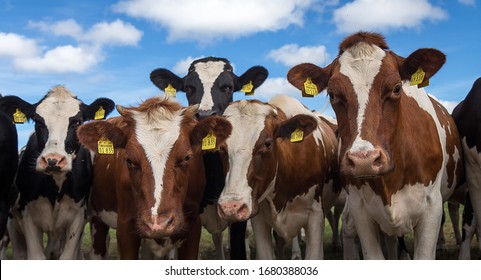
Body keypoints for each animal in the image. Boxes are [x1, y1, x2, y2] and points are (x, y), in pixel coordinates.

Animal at [0, 86, 115, 260]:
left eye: (77, 122)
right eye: (38, 121)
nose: (53, 160)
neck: (55, 190)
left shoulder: (78, 216)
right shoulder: (27, 216)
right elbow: (36, 256)